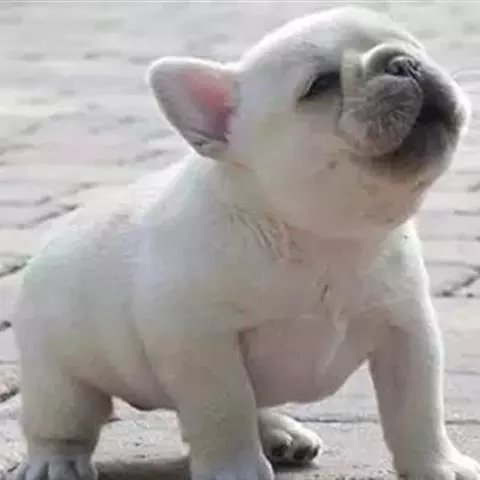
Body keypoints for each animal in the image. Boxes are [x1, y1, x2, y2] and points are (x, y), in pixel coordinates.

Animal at [11, 6, 479, 480]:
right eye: (320, 85)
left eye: (415, 46)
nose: (404, 62)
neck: (324, 238)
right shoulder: (203, 343)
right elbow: (226, 409)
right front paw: (235, 469)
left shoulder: (407, 330)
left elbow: (417, 408)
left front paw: (438, 465)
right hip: (57, 376)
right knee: (63, 421)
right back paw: (56, 462)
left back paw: (281, 434)